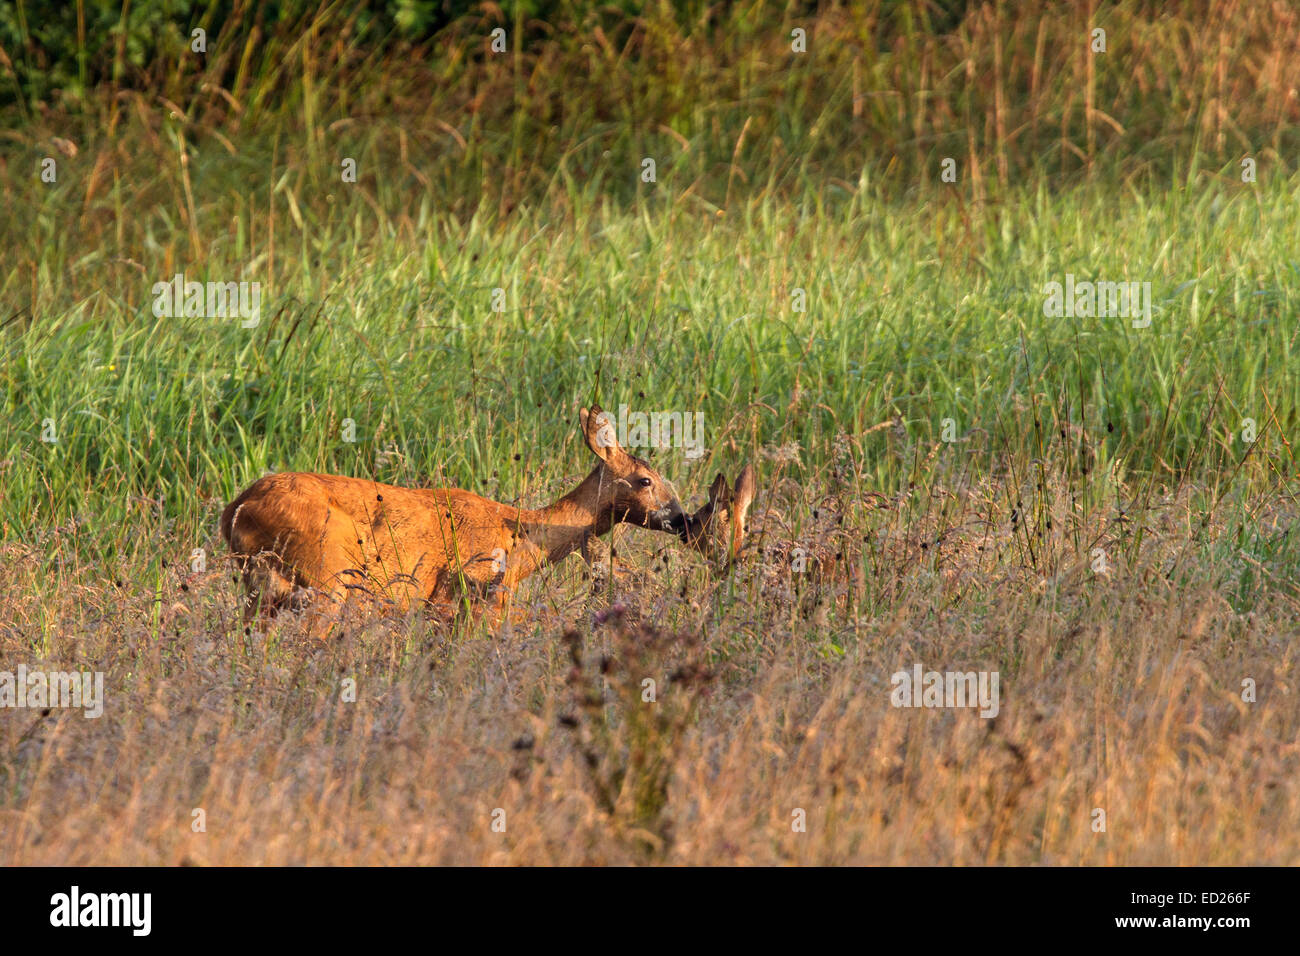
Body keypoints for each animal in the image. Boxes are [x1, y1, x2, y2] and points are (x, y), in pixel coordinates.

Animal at [220, 403, 691, 634]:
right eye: (646, 480)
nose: (683, 520)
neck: (518, 538)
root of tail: (235, 510)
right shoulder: (467, 589)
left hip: (264, 589)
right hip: (326, 579)